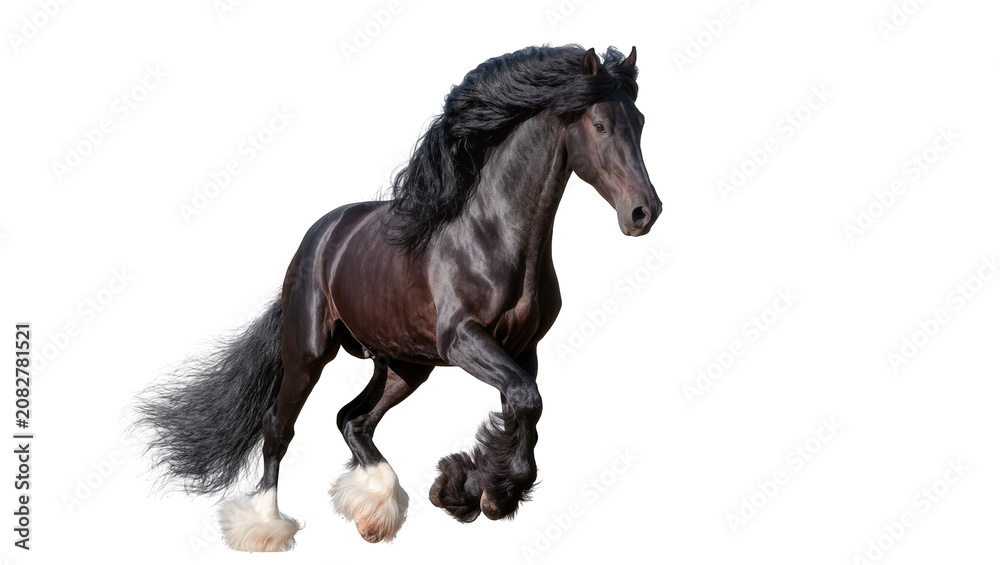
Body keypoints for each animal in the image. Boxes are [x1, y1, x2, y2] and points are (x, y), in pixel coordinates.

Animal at [136, 43, 660, 551]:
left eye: (639, 122)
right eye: (599, 124)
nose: (644, 211)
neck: (494, 234)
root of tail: (319, 236)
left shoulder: (521, 349)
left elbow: (522, 408)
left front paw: (465, 490)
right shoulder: (463, 339)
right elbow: (526, 402)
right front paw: (485, 494)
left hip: (405, 365)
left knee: (353, 419)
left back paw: (374, 512)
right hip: (308, 352)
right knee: (278, 429)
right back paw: (265, 528)